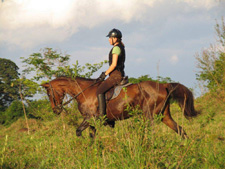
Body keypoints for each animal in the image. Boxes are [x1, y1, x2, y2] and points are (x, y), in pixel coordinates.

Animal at [41, 76, 198, 139]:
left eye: (49, 93)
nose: (56, 110)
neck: (84, 91)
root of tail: (164, 85)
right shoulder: (94, 122)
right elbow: (92, 137)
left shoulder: (90, 118)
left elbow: (78, 132)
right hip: (164, 115)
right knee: (180, 130)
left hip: (148, 116)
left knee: (151, 132)